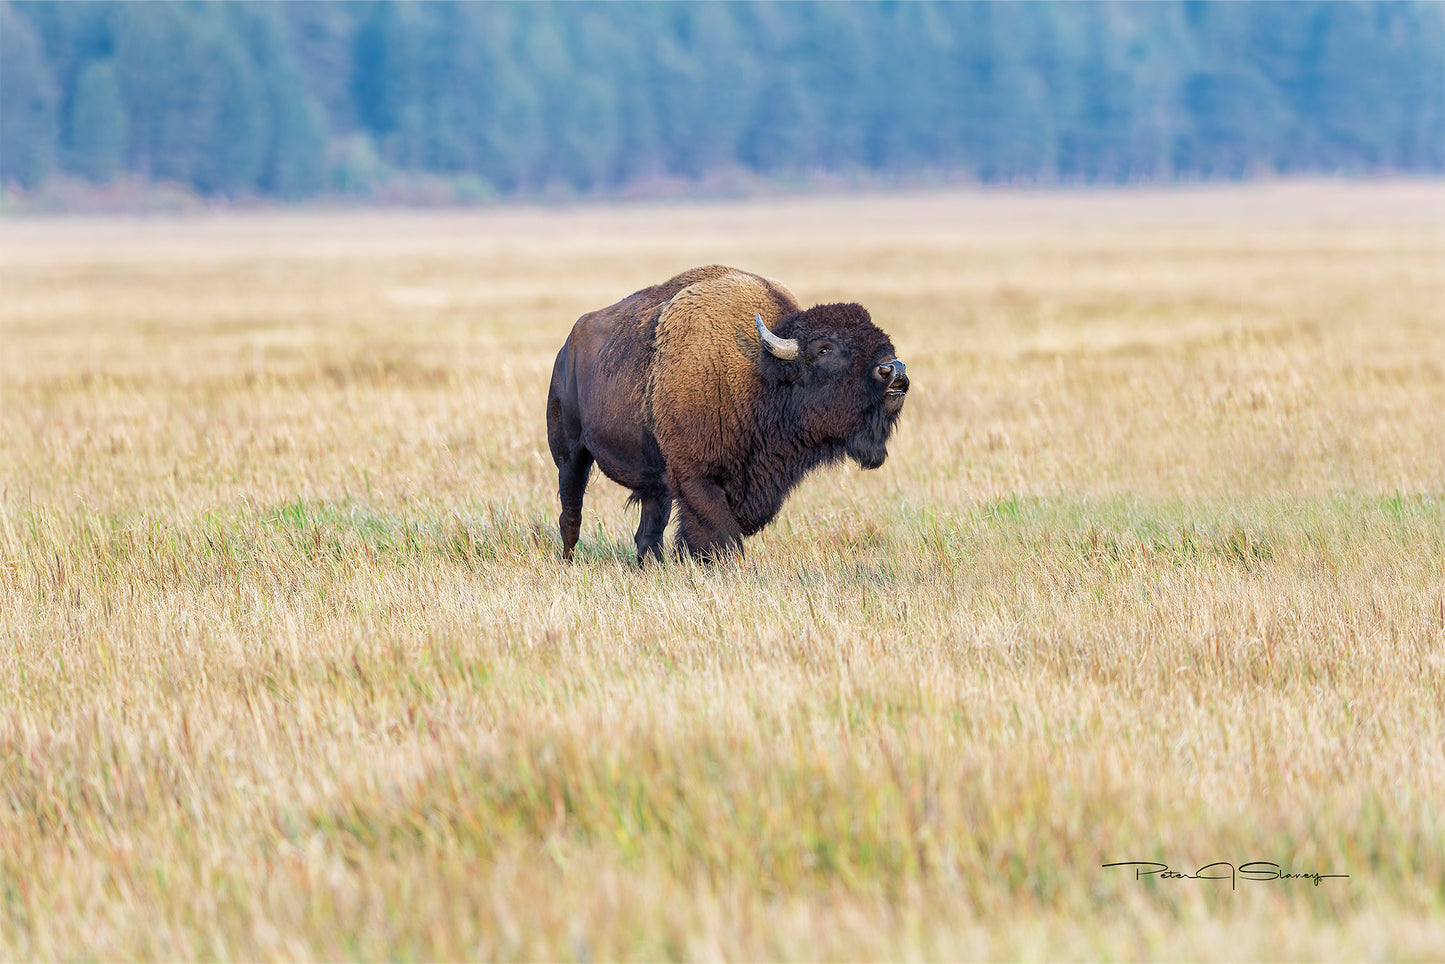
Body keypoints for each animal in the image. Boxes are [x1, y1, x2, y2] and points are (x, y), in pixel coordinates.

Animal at [545, 265, 909, 564]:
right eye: (824, 349)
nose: (893, 370)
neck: (761, 373)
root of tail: (566, 349)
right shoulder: (696, 477)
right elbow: (720, 536)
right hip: (570, 455)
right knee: (571, 513)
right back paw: (569, 561)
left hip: (654, 482)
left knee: (647, 531)